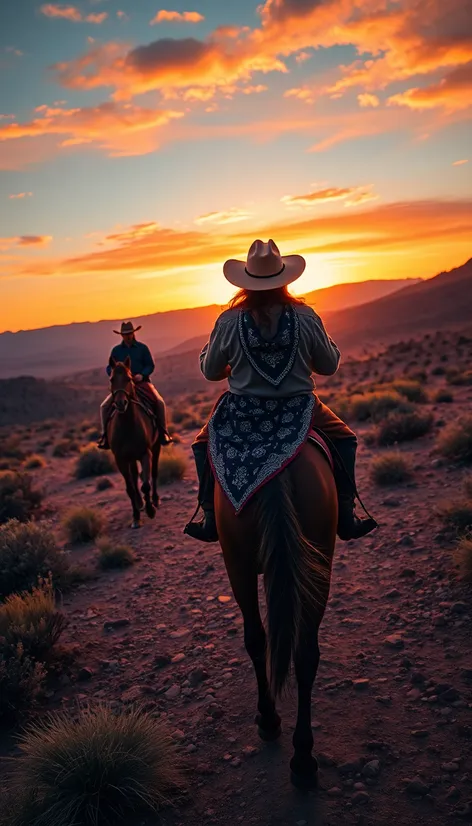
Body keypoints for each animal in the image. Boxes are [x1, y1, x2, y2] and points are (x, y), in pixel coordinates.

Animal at [107, 356, 160, 528]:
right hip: (130, 458)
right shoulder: (121, 459)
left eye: (129, 378)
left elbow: (146, 484)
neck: (128, 426)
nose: (120, 403)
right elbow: (130, 488)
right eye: (111, 379)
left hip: (156, 448)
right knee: (135, 476)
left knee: (154, 473)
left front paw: (150, 510)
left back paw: (155, 500)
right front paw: (136, 516)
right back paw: (139, 503)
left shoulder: (145, 453)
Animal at [216, 440, 338, 788]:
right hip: (315, 564)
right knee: (302, 653)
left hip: (238, 565)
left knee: (259, 641)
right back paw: (301, 756)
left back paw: (275, 726)